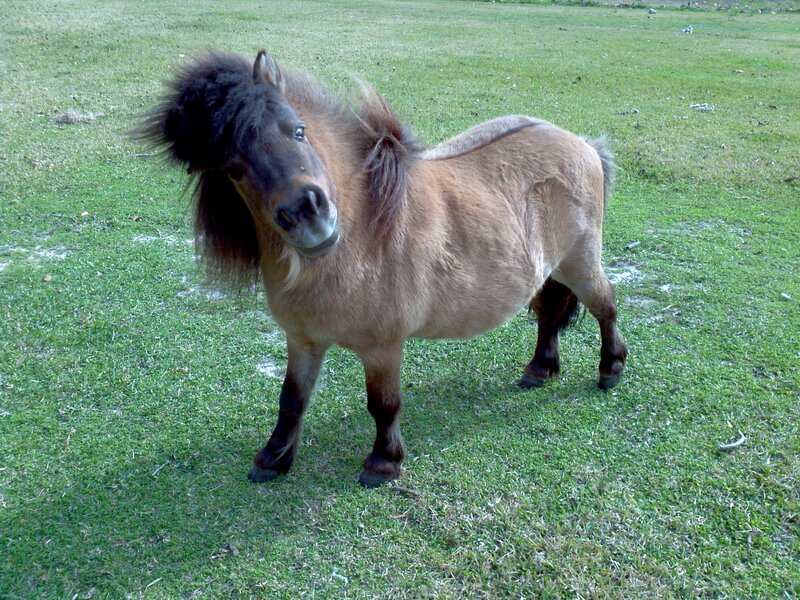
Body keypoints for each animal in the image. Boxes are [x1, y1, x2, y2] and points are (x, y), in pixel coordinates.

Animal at [135, 50, 628, 487]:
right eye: (234, 169)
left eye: (298, 131)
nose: (309, 214)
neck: (358, 240)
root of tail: (583, 144)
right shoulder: (303, 340)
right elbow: (291, 400)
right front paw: (273, 459)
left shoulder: (383, 347)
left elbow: (384, 403)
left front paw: (383, 464)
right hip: (549, 271)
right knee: (548, 315)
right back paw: (539, 369)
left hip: (581, 263)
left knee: (605, 306)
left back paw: (611, 369)